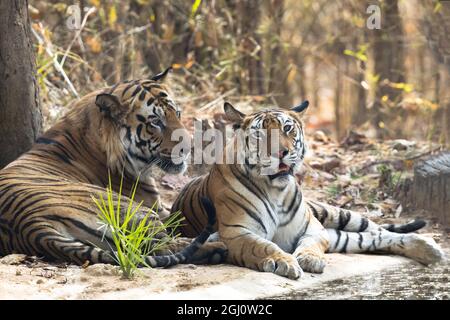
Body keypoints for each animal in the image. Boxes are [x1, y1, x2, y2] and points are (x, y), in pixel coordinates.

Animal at [0, 69, 225, 268]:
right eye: (155, 122)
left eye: (177, 113)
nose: (189, 148)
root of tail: (32, 227)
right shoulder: (159, 210)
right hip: (130, 207)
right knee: (165, 247)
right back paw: (217, 247)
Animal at [171, 101, 444, 278]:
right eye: (260, 134)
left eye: (287, 128)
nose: (281, 153)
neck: (275, 191)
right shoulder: (237, 232)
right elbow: (264, 246)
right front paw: (284, 261)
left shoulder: (314, 228)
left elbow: (311, 243)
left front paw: (310, 259)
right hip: (338, 234)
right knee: (372, 239)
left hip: (339, 215)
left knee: (378, 232)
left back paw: (431, 248)